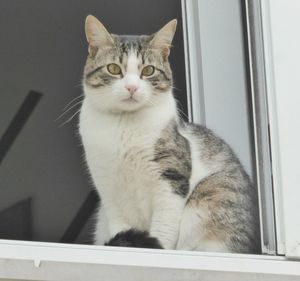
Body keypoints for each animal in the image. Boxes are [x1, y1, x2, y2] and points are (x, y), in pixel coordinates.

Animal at [79, 14, 260, 253]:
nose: (131, 88)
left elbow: (163, 229)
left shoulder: (171, 179)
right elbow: (120, 225)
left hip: (211, 196)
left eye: (148, 71)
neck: (124, 124)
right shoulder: (108, 189)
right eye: (114, 69)